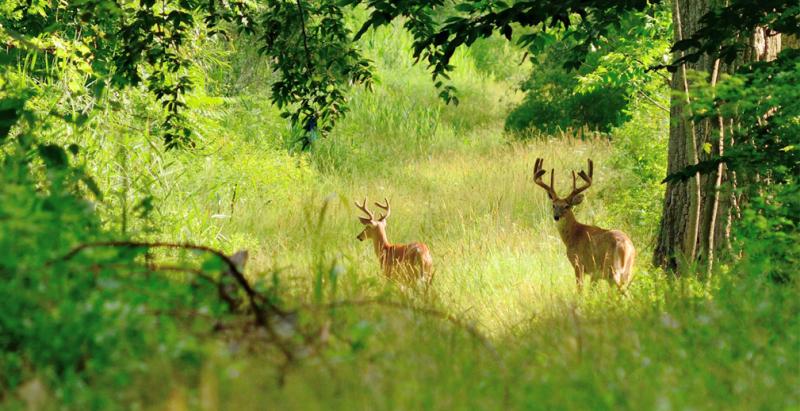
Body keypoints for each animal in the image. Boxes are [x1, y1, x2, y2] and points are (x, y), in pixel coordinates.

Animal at [532, 159, 636, 292]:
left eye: (567, 206)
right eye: (553, 205)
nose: (556, 217)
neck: (573, 234)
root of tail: (625, 246)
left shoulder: (578, 262)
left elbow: (580, 288)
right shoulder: (594, 273)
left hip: (612, 268)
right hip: (627, 269)